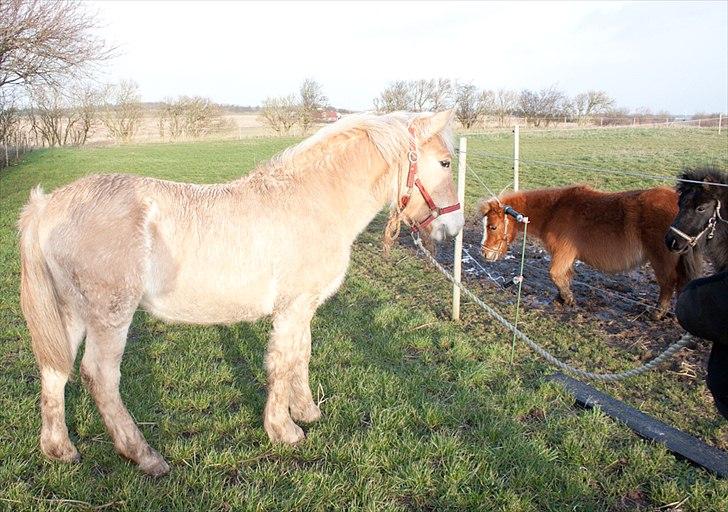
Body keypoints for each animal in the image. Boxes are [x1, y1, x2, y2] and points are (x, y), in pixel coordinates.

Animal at [19, 111, 464, 476]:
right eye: (444, 162)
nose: (454, 227)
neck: (313, 201)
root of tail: (46, 207)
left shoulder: (303, 308)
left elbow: (301, 355)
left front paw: (306, 411)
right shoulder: (292, 307)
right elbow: (282, 362)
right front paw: (284, 430)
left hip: (72, 312)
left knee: (54, 371)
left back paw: (59, 449)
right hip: (110, 314)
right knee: (100, 376)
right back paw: (144, 455)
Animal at [478, 186, 700, 318]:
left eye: (493, 227)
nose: (485, 254)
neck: (554, 211)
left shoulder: (562, 254)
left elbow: (555, 274)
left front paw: (568, 300)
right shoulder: (567, 257)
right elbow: (564, 277)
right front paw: (561, 299)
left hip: (661, 258)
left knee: (668, 283)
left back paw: (656, 313)